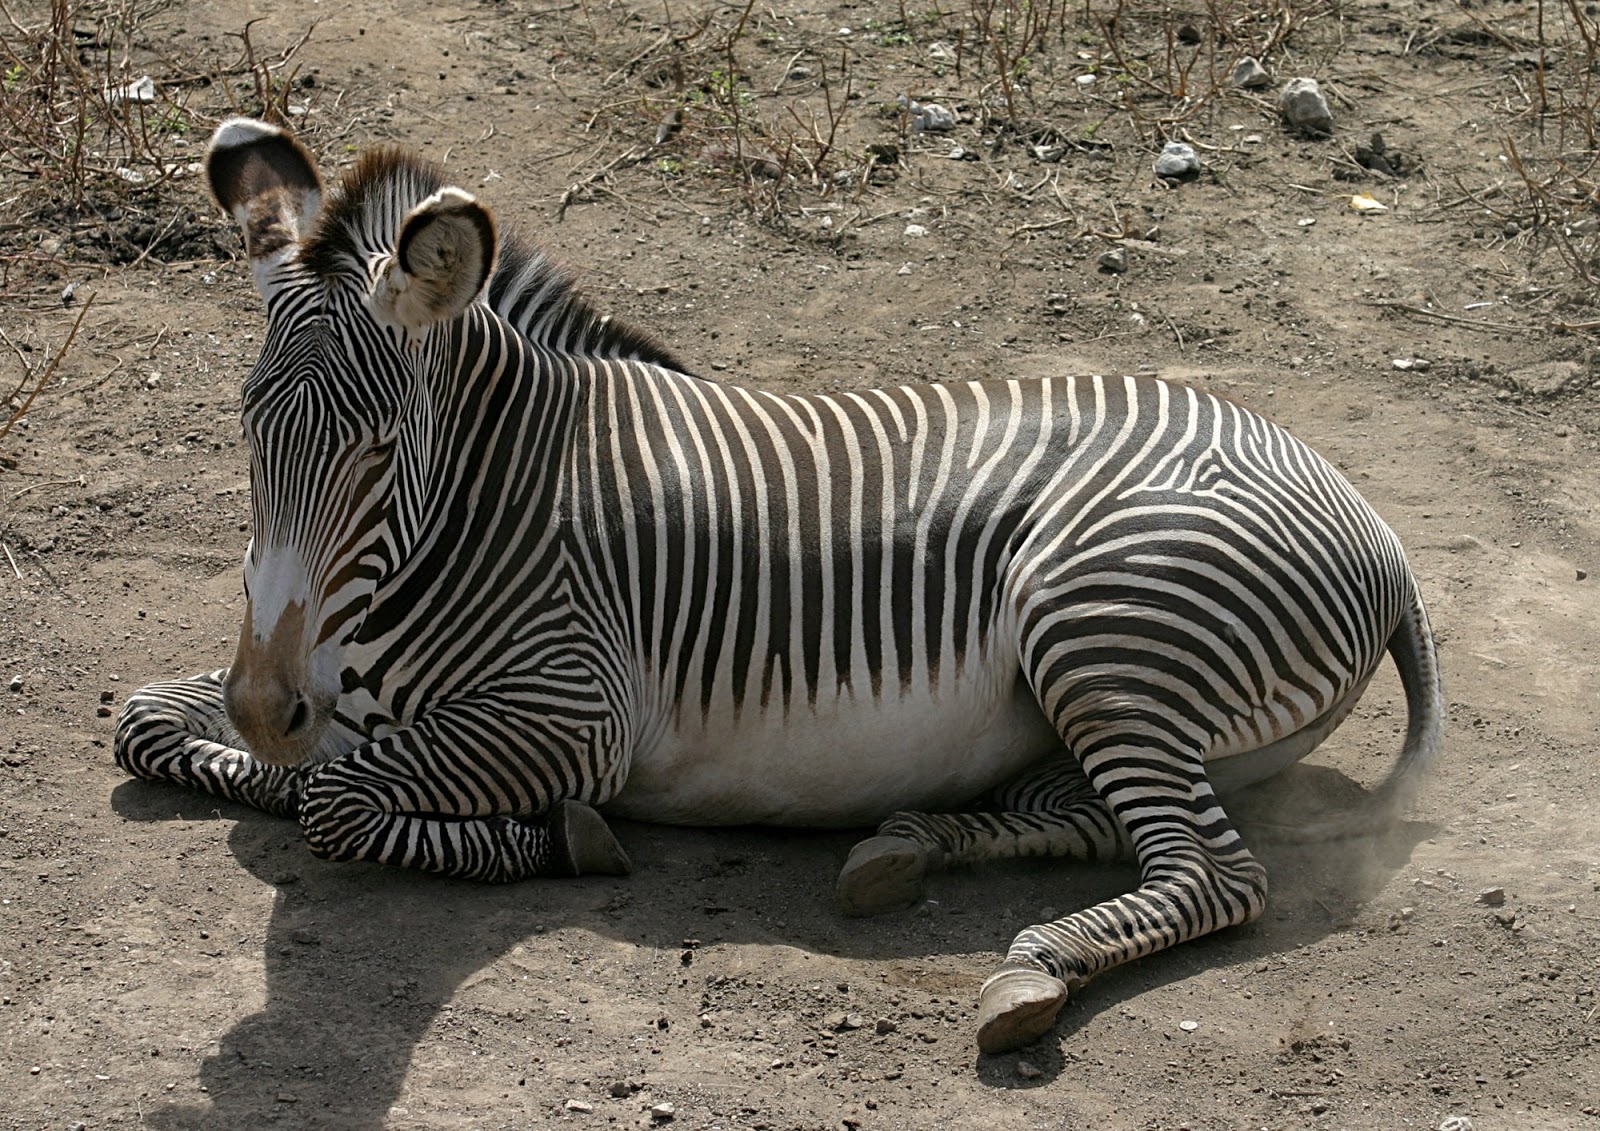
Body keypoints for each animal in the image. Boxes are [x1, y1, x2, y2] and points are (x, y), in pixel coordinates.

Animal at [116, 118, 1442, 1056]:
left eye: (380, 451)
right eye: (245, 429)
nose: (266, 709)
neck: (489, 500)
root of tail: (1360, 511)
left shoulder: (574, 715)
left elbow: (337, 801)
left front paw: (553, 837)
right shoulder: (314, 679)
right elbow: (145, 723)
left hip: (1103, 624)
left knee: (1214, 876)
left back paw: (1033, 969)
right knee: (1101, 819)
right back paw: (909, 845)